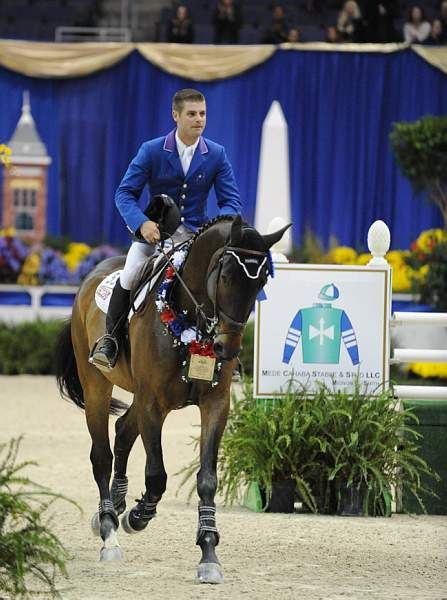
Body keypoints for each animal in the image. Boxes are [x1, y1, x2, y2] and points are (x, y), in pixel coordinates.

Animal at [55, 217, 290, 584]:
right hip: (97, 386)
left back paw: (117, 504)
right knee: (101, 455)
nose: (228, 349)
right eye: (225, 276)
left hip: (136, 395)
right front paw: (138, 516)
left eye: (262, 280)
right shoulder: (154, 404)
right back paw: (109, 530)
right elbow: (156, 475)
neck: (191, 319)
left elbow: (207, 479)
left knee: (123, 431)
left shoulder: (215, 404)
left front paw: (208, 553)